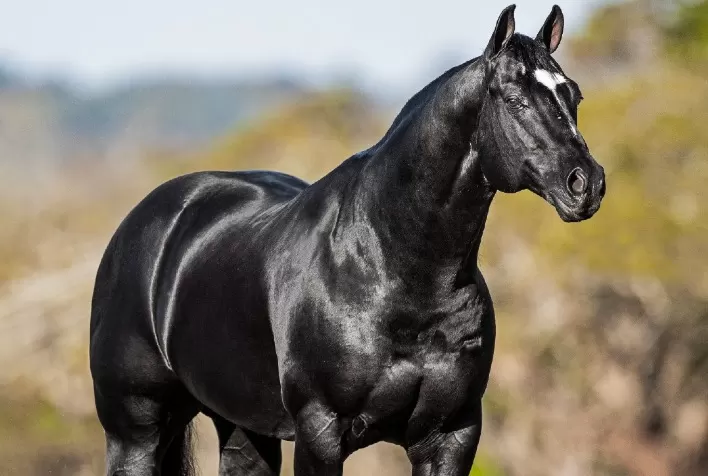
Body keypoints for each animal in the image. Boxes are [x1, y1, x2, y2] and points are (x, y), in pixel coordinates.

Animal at [89, 4, 606, 475]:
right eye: (515, 99)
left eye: (573, 95)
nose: (587, 184)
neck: (392, 269)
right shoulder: (320, 434)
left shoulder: (451, 435)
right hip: (135, 431)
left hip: (243, 427)